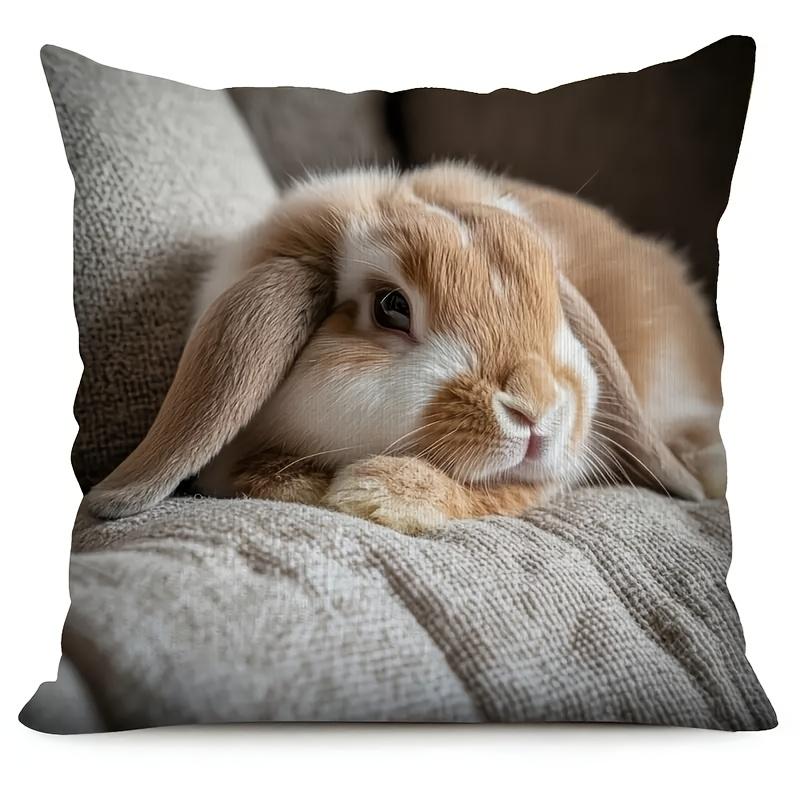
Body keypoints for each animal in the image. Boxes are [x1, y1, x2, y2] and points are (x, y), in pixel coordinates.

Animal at [86, 162, 725, 533]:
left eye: (552, 305)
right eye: (392, 306)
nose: (537, 410)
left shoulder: (563, 465)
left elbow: (503, 492)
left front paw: (374, 495)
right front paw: (312, 486)